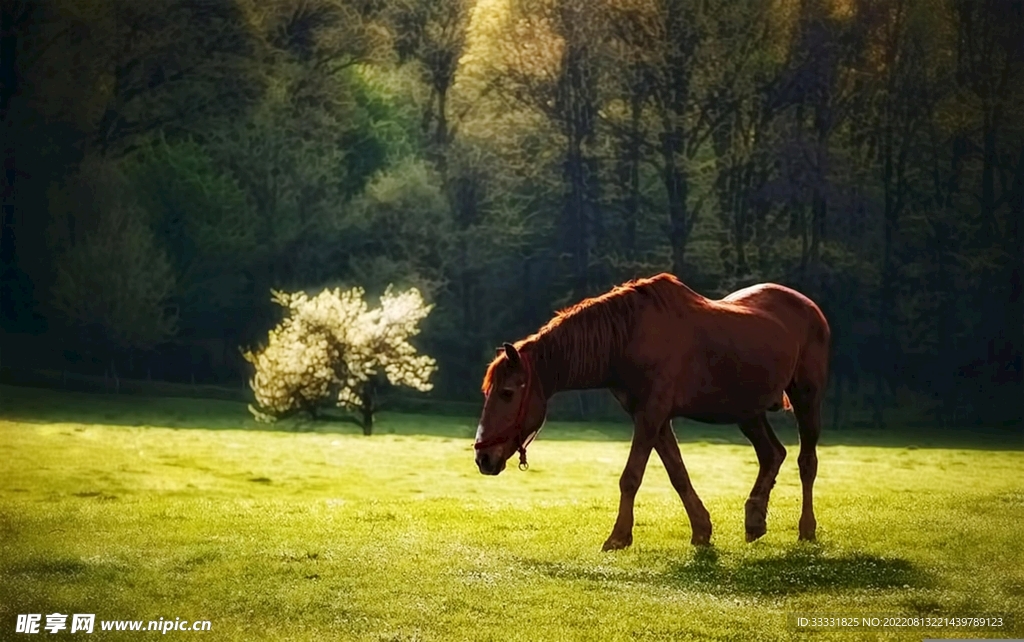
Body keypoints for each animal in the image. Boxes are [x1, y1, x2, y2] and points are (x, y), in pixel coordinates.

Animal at [474, 273, 830, 549]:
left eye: (507, 393)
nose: (483, 458)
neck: (628, 337)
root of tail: (810, 307)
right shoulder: (651, 417)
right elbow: (678, 474)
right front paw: (702, 530)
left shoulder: (652, 414)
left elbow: (631, 476)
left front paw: (618, 537)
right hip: (747, 411)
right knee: (772, 454)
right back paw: (755, 519)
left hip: (806, 398)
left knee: (806, 462)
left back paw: (806, 529)